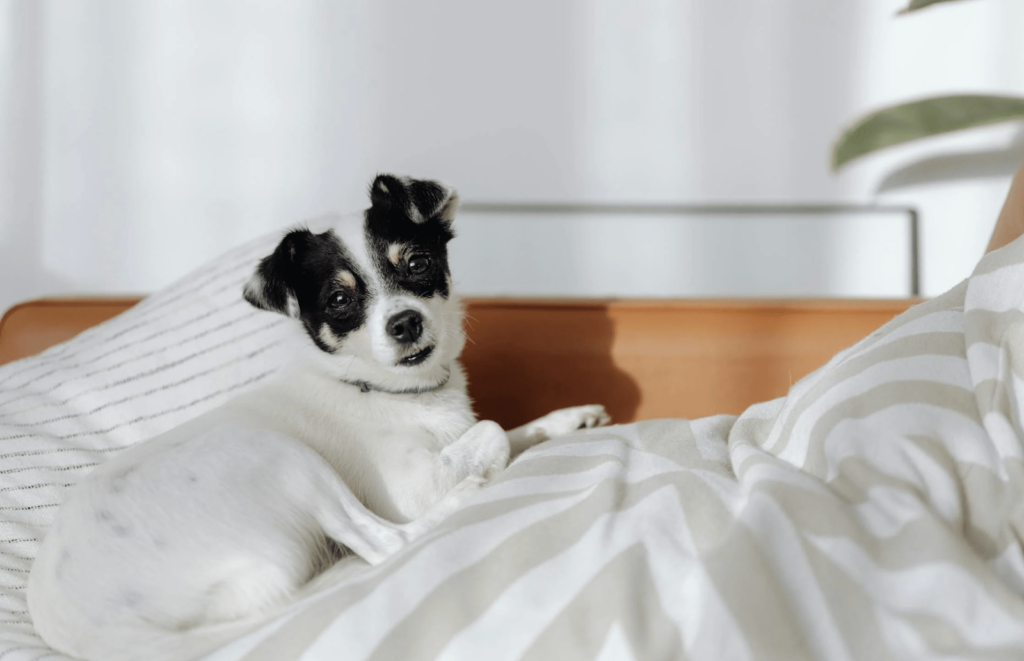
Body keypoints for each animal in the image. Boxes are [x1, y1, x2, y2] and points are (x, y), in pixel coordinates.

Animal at [28, 175, 610, 661]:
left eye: (418, 263)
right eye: (338, 299)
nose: (405, 323)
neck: (386, 389)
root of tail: (108, 636)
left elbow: (508, 430)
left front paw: (569, 418)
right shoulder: (411, 489)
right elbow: (491, 433)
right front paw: (488, 468)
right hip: (287, 458)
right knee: (385, 546)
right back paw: (464, 498)